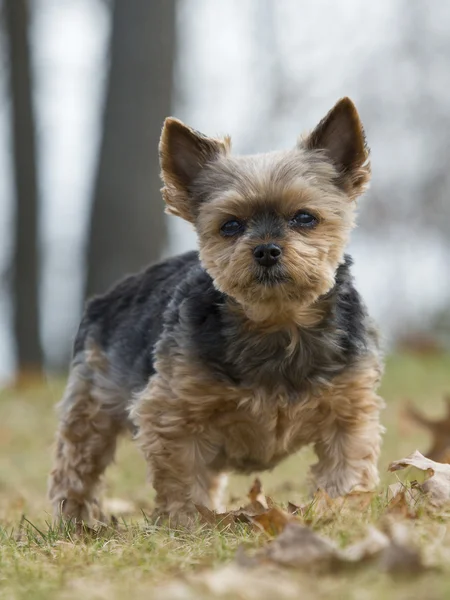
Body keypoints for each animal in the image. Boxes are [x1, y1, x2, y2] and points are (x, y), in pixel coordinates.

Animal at [48, 96, 384, 524]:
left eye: (305, 217)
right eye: (230, 225)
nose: (267, 250)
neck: (277, 322)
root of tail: (107, 295)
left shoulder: (349, 408)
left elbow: (346, 467)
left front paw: (338, 513)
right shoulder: (171, 412)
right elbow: (182, 476)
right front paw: (187, 523)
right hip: (92, 402)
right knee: (77, 462)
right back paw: (73, 521)